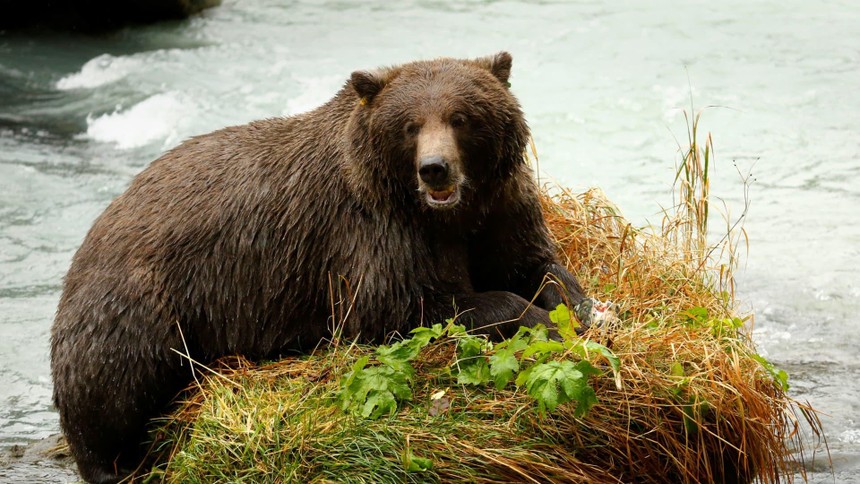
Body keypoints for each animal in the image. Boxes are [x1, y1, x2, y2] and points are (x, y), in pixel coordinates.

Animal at [50, 51, 588, 482]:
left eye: (461, 117)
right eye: (410, 125)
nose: (435, 168)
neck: (445, 215)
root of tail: (98, 224)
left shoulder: (500, 209)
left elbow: (537, 265)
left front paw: (584, 310)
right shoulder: (373, 233)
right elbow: (403, 305)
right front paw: (538, 319)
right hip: (142, 301)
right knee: (111, 385)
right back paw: (114, 463)